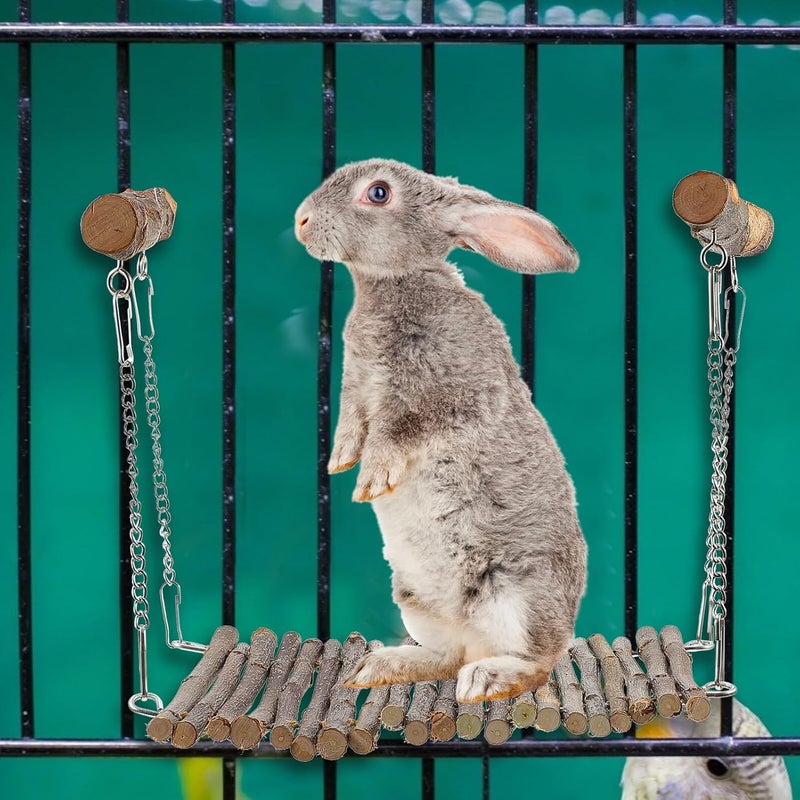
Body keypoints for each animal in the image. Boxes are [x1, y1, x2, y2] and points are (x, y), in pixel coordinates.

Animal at [294, 158, 587, 702]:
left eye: (379, 193)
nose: (301, 221)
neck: (396, 282)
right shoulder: (356, 387)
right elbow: (352, 422)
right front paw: (339, 462)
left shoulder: (445, 394)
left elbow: (399, 431)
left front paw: (371, 479)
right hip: (416, 599)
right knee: (446, 656)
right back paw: (380, 666)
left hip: (518, 596)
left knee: (538, 662)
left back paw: (487, 679)